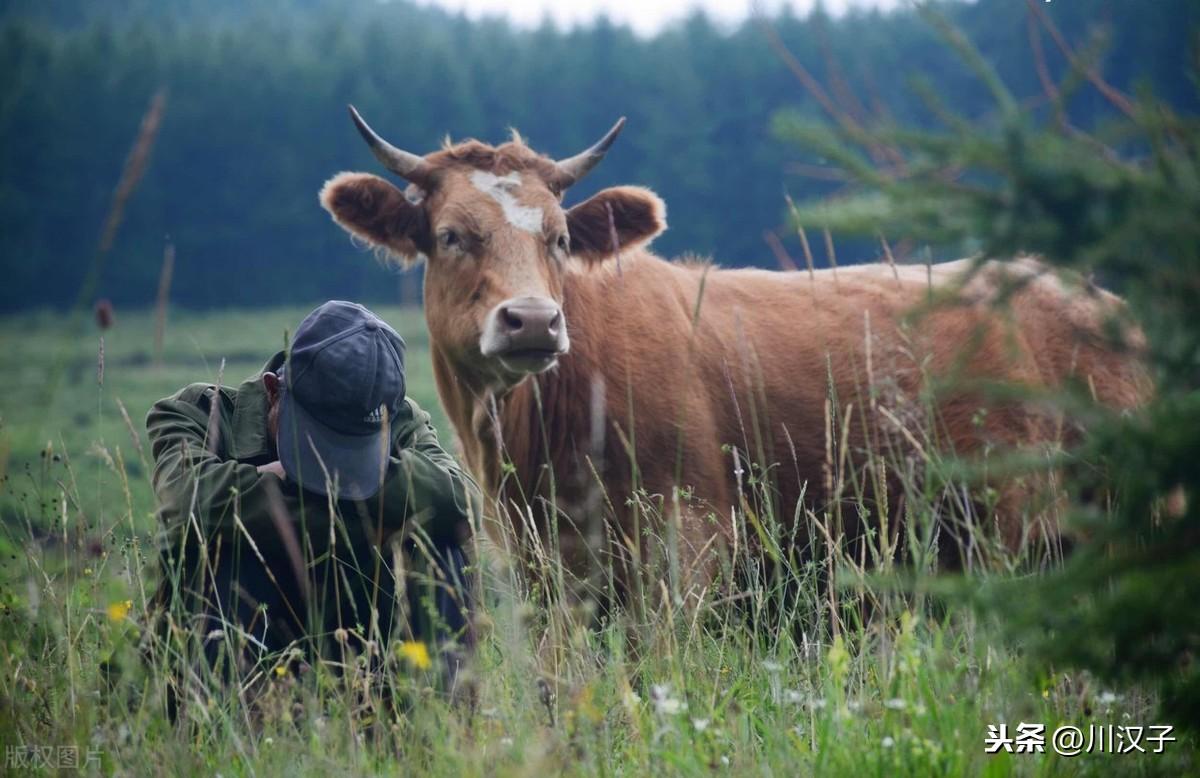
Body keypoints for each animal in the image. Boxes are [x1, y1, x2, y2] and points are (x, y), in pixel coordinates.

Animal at [321, 108, 1152, 607]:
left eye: (558, 237)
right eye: (451, 234)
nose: (533, 320)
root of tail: (1095, 300)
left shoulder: (689, 544)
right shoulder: (545, 569)